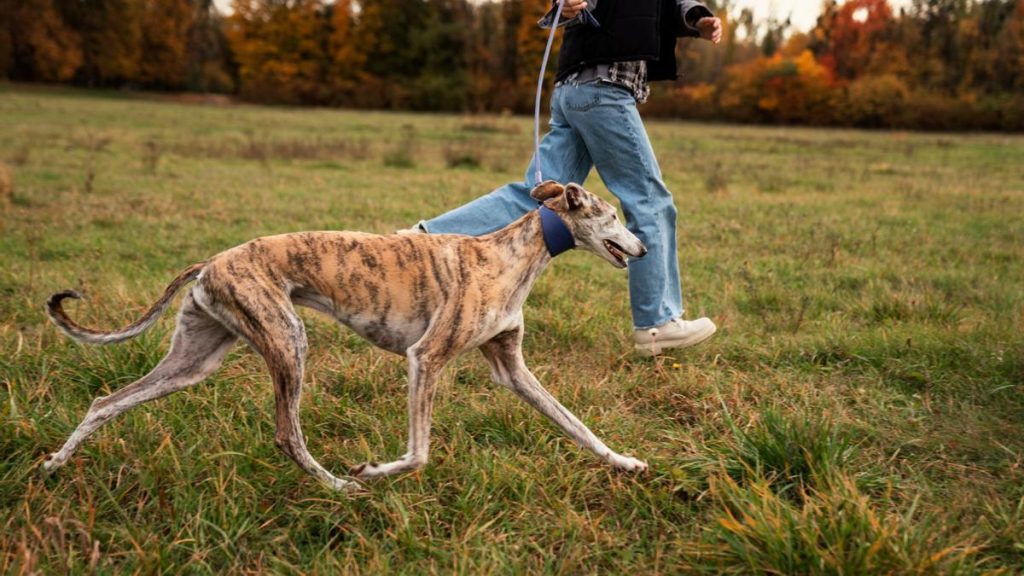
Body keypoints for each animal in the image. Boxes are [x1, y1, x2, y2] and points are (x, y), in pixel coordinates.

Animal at [44, 180, 647, 487]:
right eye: (613, 215)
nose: (642, 248)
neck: (510, 256)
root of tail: (210, 262)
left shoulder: (512, 368)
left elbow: (575, 425)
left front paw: (625, 462)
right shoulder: (426, 357)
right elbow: (419, 453)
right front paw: (374, 468)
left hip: (196, 358)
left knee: (106, 401)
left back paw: (54, 464)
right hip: (288, 340)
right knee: (287, 436)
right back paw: (339, 485)